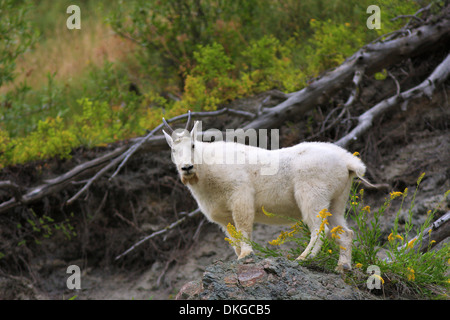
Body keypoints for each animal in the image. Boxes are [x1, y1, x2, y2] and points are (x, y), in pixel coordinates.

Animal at [162, 114, 370, 272]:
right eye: (173, 149)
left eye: (192, 145)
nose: (186, 168)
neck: (206, 169)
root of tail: (348, 163)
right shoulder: (222, 216)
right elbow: (233, 238)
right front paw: (239, 256)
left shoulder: (241, 195)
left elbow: (243, 226)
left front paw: (246, 255)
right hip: (337, 200)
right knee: (345, 232)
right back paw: (342, 267)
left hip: (312, 194)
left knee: (320, 229)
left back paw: (302, 258)